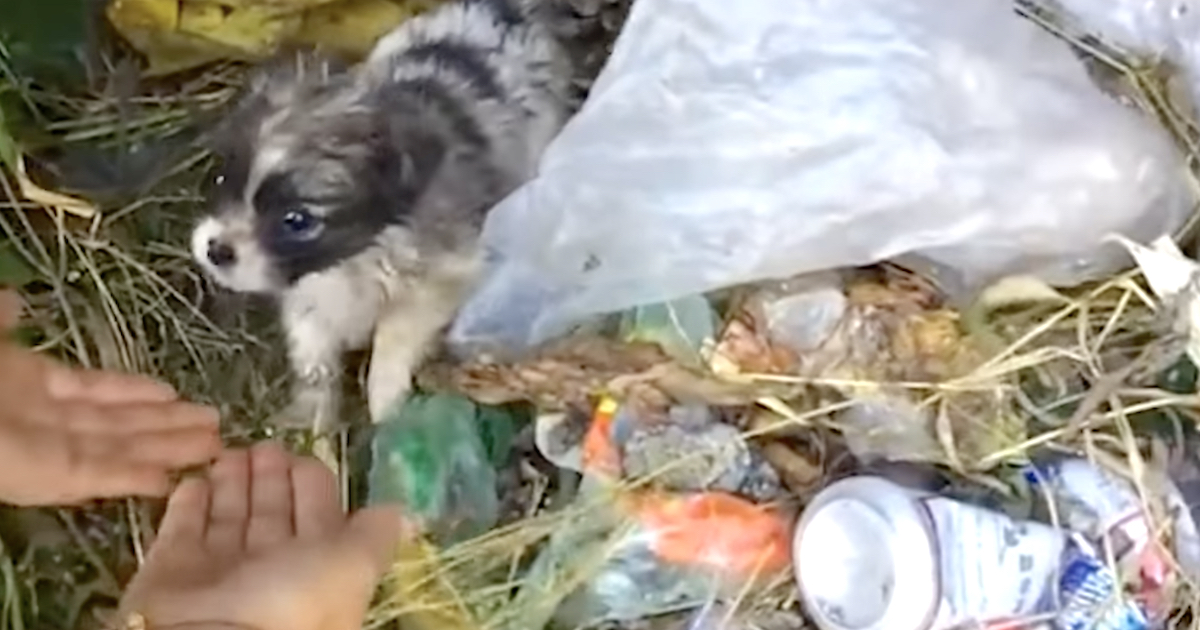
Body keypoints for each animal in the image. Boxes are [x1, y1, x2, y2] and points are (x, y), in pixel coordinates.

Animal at [193, 0, 576, 429]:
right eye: (221, 178)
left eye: (296, 220)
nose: (216, 251)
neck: (359, 254)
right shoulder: (309, 296)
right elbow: (313, 358)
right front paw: (314, 417)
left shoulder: (443, 279)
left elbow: (393, 339)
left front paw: (386, 403)